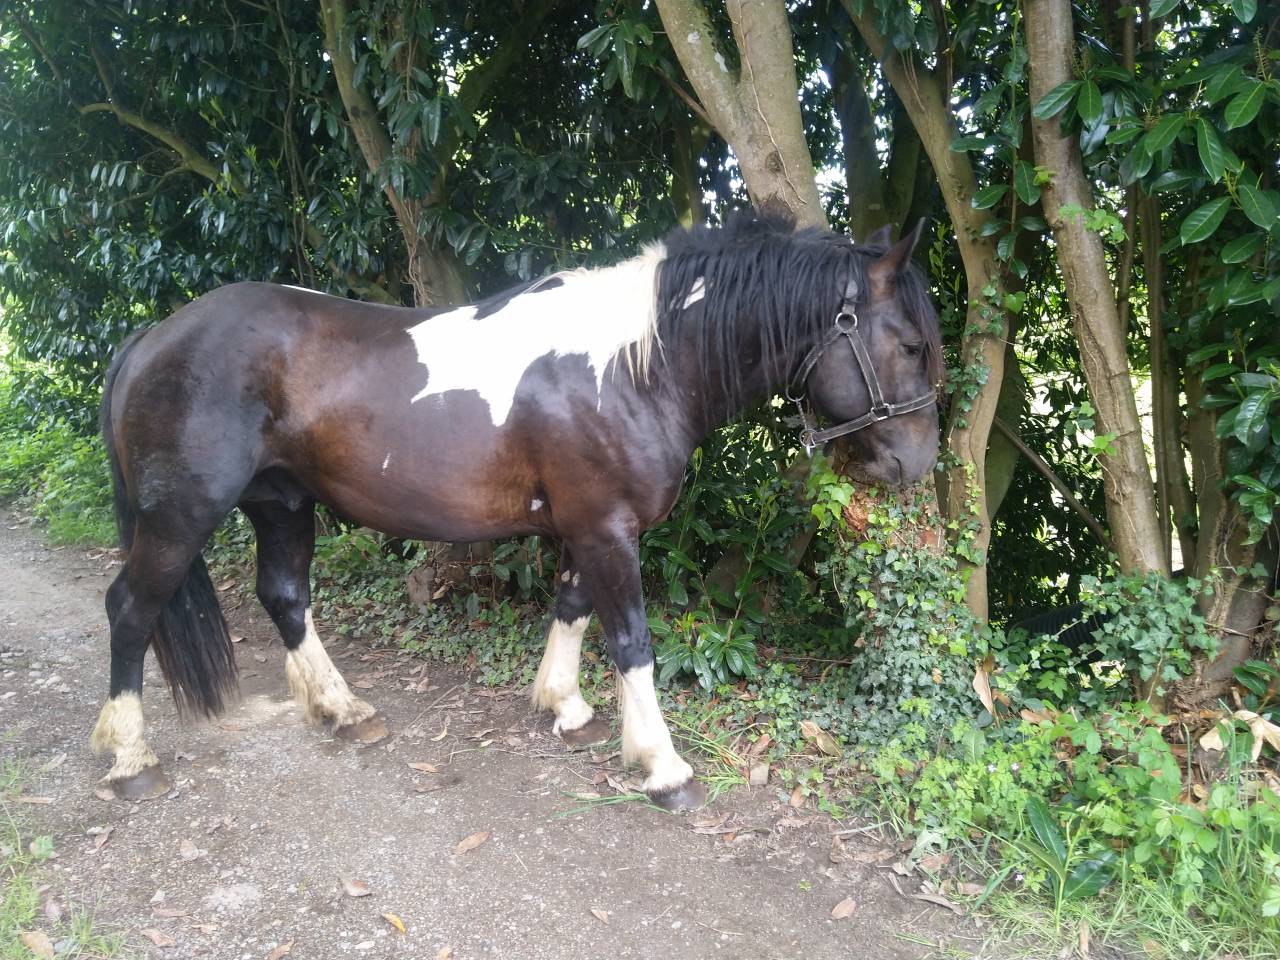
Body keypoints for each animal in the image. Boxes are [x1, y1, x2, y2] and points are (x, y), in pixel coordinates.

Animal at [92, 210, 942, 810]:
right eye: (908, 344)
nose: (918, 465)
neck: (636, 365)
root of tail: (152, 337)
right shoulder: (607, 529)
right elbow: (631, 641)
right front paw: (663, 766)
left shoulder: (585, 528)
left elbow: (570, 609)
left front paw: (565, 707)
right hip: (180, 520)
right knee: (132, 607)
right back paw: (131, 759)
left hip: (282, 503)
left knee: (285, 596)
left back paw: (343, 709)